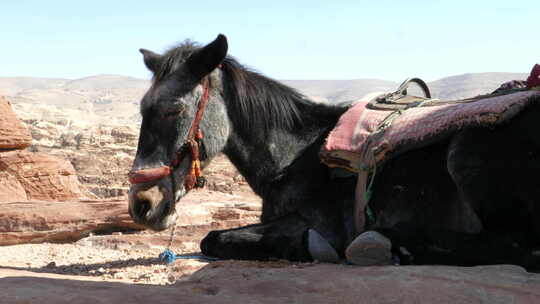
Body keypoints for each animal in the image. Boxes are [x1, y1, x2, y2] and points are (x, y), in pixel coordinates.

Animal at [129, 35, 540, 270]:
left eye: (173, 110)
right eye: (142, 110)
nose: (141, 205)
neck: (298, 155)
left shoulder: (315, 220)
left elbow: (212, 238)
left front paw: (308, 247)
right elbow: (212, 237)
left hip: (465, 153)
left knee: (515, 246)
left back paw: (390, 244)